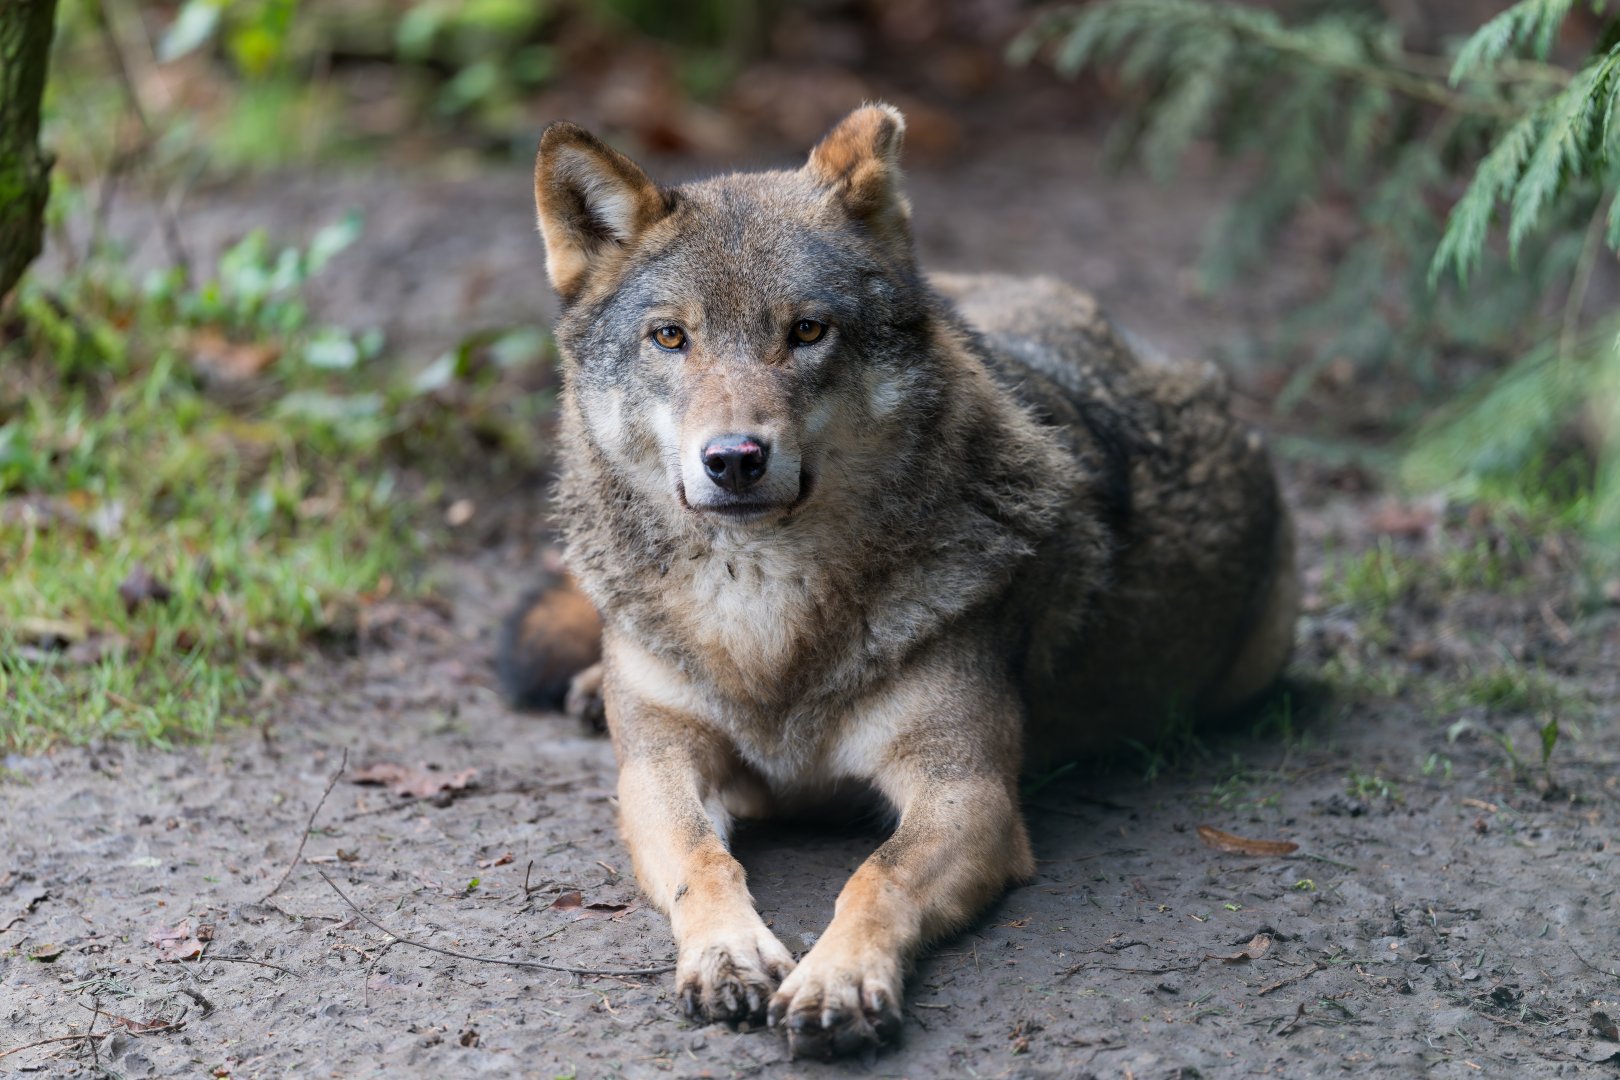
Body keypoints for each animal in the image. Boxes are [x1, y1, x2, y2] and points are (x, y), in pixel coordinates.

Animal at [501, 103, 1298, 1058]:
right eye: (671, 336)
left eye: (808, 332)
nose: (734, 459)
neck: (763, 619)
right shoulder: (656, 770)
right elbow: (704, 859)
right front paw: (729, 956)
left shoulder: (968, 792)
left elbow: (875, 876)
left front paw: (837, 980)